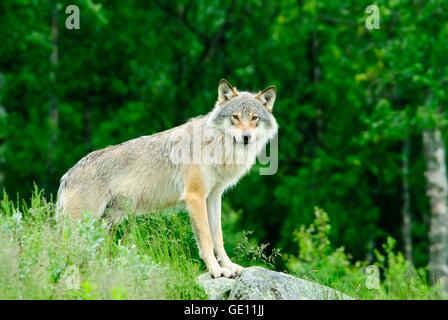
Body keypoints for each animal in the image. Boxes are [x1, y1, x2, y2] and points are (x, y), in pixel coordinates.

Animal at [57, 80, 278, 278]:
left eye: (254, 118)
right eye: (235, 117)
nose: (246, 137)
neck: (215, 145)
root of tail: (67, 175)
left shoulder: (213, 197)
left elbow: (218, 237)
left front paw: (229, 267)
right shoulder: (195, 196)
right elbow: (206, 239)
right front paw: (216, 271)